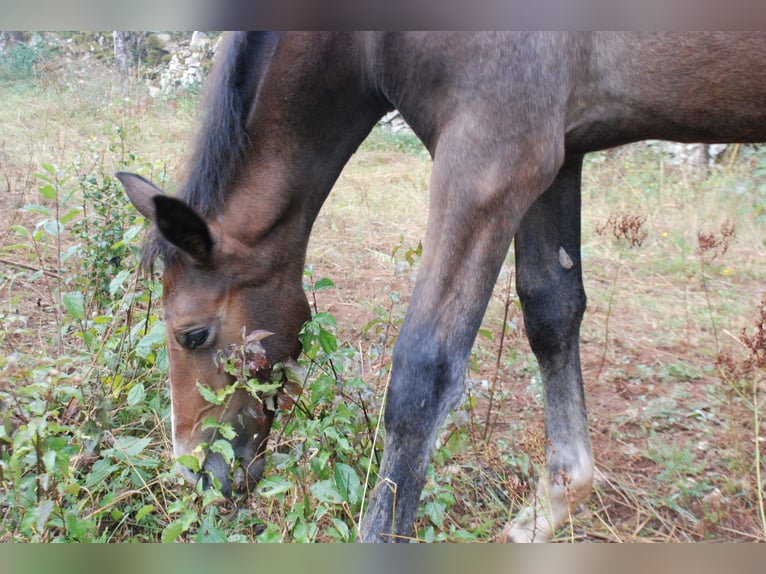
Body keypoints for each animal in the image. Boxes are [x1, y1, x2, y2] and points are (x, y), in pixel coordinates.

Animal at [115, 31, 766, 544]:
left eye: (192, 334)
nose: (195, 473)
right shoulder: (556, 154)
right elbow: (552, 314)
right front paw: (552, 507)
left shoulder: (492, 159)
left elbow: (421, 378)